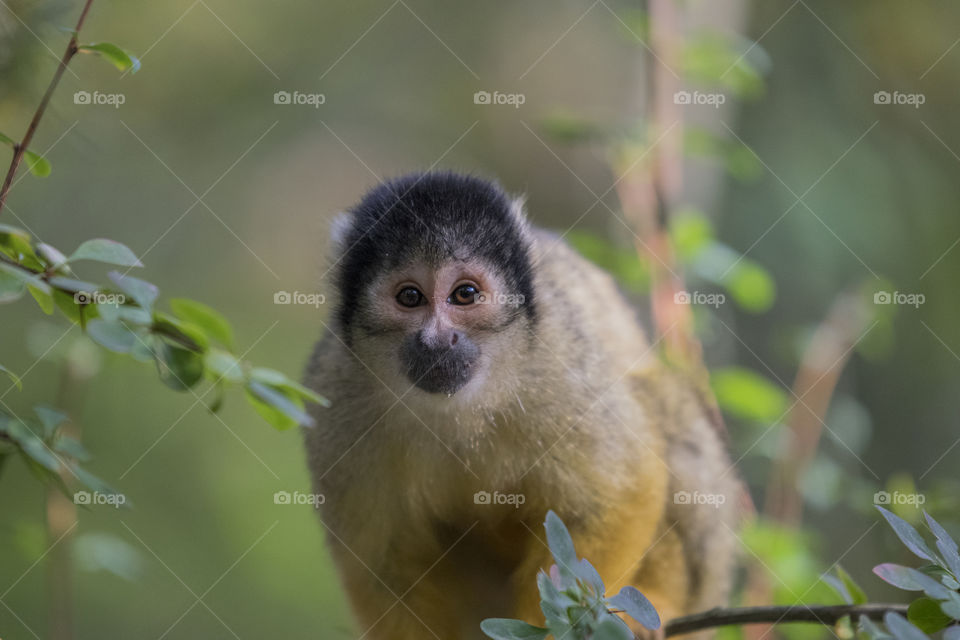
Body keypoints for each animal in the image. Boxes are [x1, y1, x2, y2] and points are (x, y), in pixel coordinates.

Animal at [303, 171, 741, 640]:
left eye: (465, 294)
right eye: (409, 297)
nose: (438, 341)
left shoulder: (558, 360)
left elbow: (617, 492)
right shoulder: (335, 397)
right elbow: (382, 562)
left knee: (665, 409)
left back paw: (658, 604)